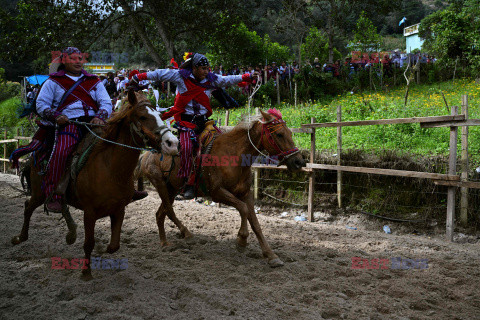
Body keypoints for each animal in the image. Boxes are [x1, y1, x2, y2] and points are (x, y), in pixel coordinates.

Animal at [11, 89, 180, 278]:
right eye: (142, 117)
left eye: (159, 114)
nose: (172, 143)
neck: (111, 170)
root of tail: (37, 152)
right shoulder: (89, 212)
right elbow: (89, 242)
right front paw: (86, 272)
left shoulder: (119, 210)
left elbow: (114, 246)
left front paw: (101, 250)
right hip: (40, 193)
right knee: (28, 206)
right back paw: (20, 237)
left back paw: (70, 233)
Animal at [137, 109, 306, 266]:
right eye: (279, 134)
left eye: (290, 133)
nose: (298, 162)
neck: (235, 155)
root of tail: (146, 154)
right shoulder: (217, 193)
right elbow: (243, 209)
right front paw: (241, 240)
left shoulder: (246, 194)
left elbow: (255, 223)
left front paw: (271, 255)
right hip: (161, 186)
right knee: (169, 212)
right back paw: (186, 235)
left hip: (171, 189)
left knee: (160, 214)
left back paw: (165, 243)